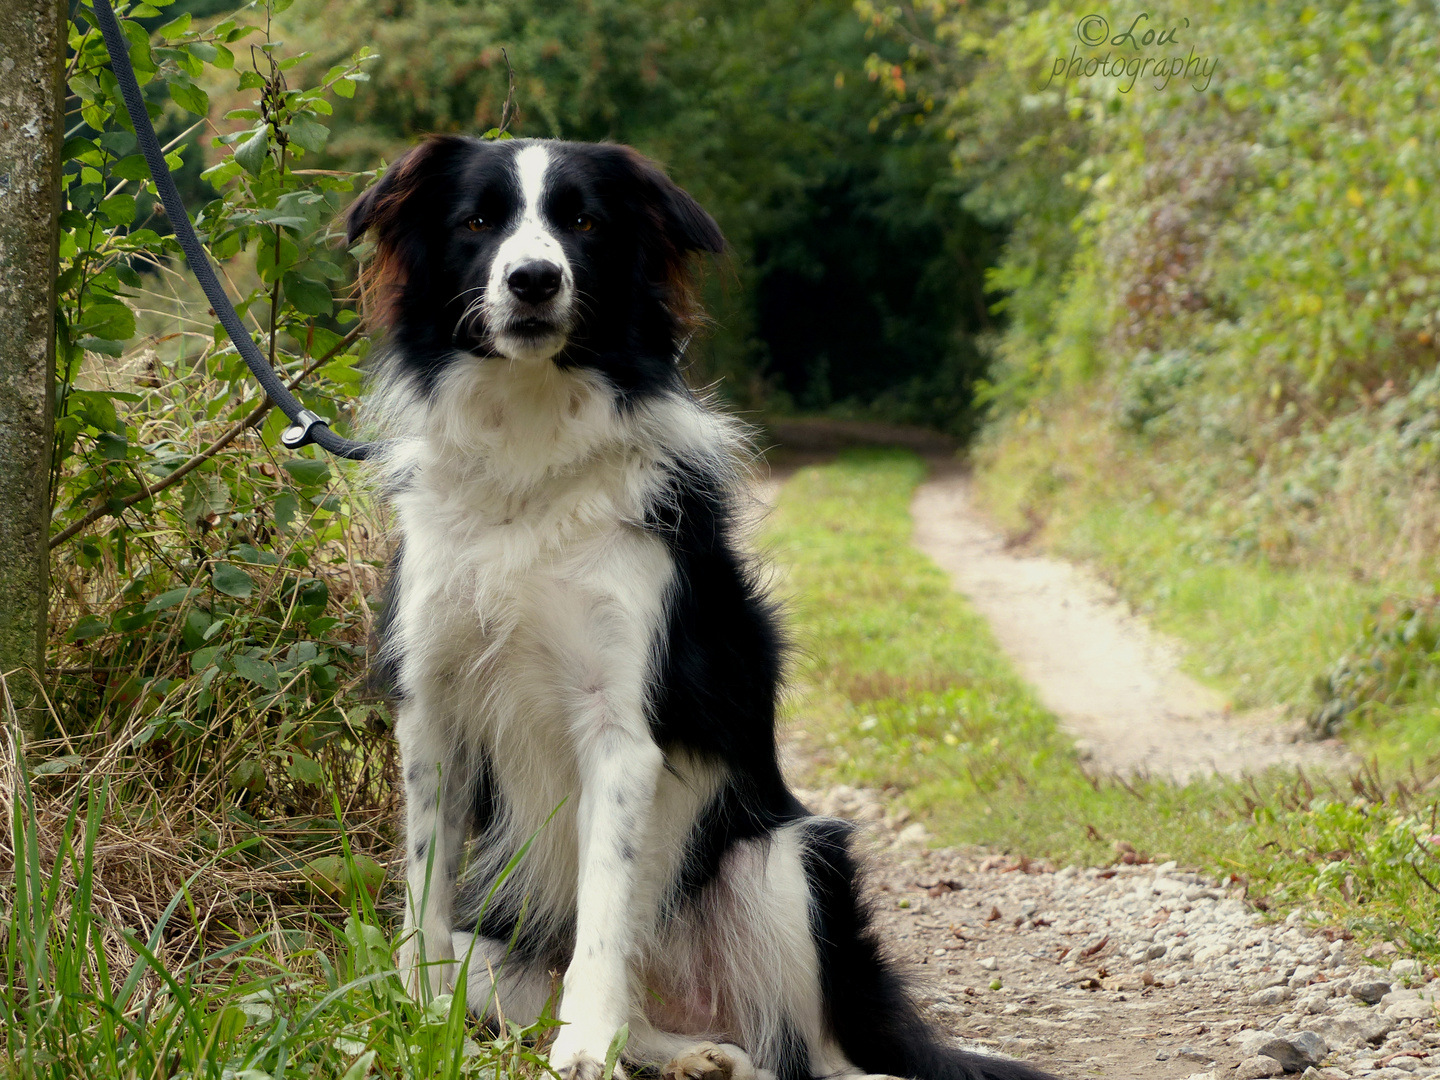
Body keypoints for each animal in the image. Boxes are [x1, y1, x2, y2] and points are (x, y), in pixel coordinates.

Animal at [342, 133, 1054, 1080]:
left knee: (814, 1051)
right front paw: (415, 1022)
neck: (530, 459)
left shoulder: (621, 727)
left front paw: (582, 1049)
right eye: (477, 222)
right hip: (498, 948)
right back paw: (691, 1054)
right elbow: (423, 895)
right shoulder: (434, 714)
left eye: (583, 223)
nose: (533, 280)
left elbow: (605, 909)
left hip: (786, 862)